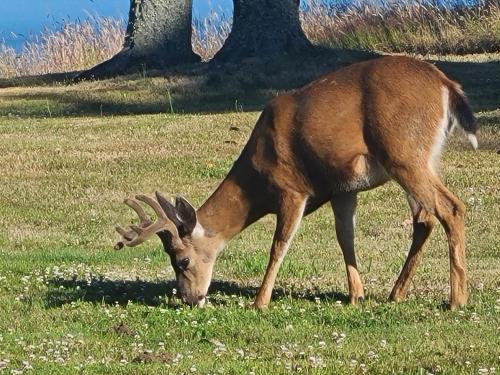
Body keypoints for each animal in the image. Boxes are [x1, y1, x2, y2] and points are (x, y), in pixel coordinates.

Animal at [113, 54, 476, 310]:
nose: (190, 298)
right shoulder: (343, 188)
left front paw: (259, 301)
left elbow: (279, 245)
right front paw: (355, 295)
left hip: (404, 152)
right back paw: (396, 293)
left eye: (182, 260)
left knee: (451, 207)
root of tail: (447, 86)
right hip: (421, 158)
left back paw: (456, 300)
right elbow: (345, 237)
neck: (256, 177)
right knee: (425, 219)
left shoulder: (292, 188)